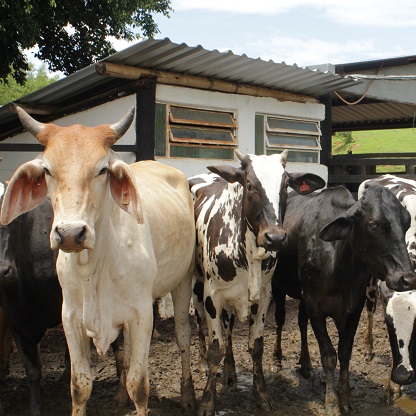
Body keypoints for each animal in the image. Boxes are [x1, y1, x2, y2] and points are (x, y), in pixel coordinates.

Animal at [0, 107, 197, 416]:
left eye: (102, 169)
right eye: (47, 170)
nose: (70, 233)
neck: (94, 266)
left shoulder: (142, 314)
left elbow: (139, 385)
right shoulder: (70, 317)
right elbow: (80, 385)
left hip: (183, 280)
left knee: (183, 337)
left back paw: (188, 396)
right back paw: (120, 396)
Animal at [188, 150, 324, 416]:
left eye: (285, 186)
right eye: (250, 184)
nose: (275, 237)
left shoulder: (263, 296)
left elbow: (257, 346)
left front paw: (261, 394)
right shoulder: (213, 296)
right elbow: (216, 349)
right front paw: (208, 400)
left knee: (229, 328)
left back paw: (230, 372)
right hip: (197, 286)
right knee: (199, 322)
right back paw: (201, 363)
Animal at [272, 184, 416, 414]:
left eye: (406, 223)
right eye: (374, 225)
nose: (407, 279)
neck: (338, 262)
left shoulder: (353, 308)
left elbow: (345, 352)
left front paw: (345, 397)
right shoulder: (315, 306)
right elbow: (329, 355)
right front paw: (331, 403)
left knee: (301, 322)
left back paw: (305, 363)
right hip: (277, 287)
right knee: (280, 320)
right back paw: (277, 359)